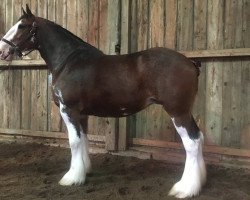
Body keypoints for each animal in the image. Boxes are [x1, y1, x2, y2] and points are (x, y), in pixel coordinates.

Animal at [0, 4, 205, 198]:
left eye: (22, 26)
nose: (2, 51)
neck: (68, 62)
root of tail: (190, 63)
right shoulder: (81, 114)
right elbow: (83, 140)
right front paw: (84, 172)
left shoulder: (69, 110)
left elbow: (74, 142)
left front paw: (71, 178)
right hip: (185, 111)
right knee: (199, 137)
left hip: (178, 111)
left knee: (191, 142)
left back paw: (185, 189)